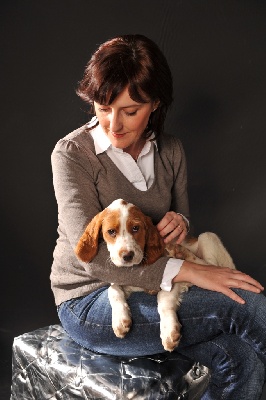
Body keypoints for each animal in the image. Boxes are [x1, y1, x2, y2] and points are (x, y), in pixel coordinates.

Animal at [75, 198, 235, 352]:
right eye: (111, 231)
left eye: (136, 228)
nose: (127, 256)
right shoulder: (125, 283)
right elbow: (113, 289)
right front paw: (120, 321)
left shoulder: (175, 278)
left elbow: (163, 298)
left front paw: (169, 332)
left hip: (208, 238)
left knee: (209, 263)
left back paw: (184, 253)